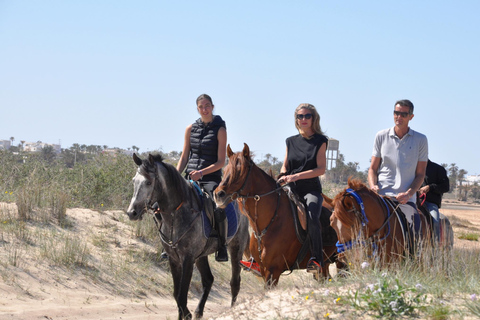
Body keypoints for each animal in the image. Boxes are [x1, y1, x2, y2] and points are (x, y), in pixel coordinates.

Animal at [125, 154, 249, 318]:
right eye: (134, 181)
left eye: (149, 182)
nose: (131, 213)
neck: (176, 214)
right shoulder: (174, 259)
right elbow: (177, 295)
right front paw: (186, 315)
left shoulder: (188, 259)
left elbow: (181, 296)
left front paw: (187, 314)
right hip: (201, 255)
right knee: (208, 279)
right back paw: (198, 312)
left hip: (236, 249)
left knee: (235, 282)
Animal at [214, 144, 342, 286]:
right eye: (225, 169)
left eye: (240, 171)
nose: (218, 195)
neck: (270, 222)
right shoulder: (263, 270)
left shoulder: (273, 271)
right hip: (325, 264)